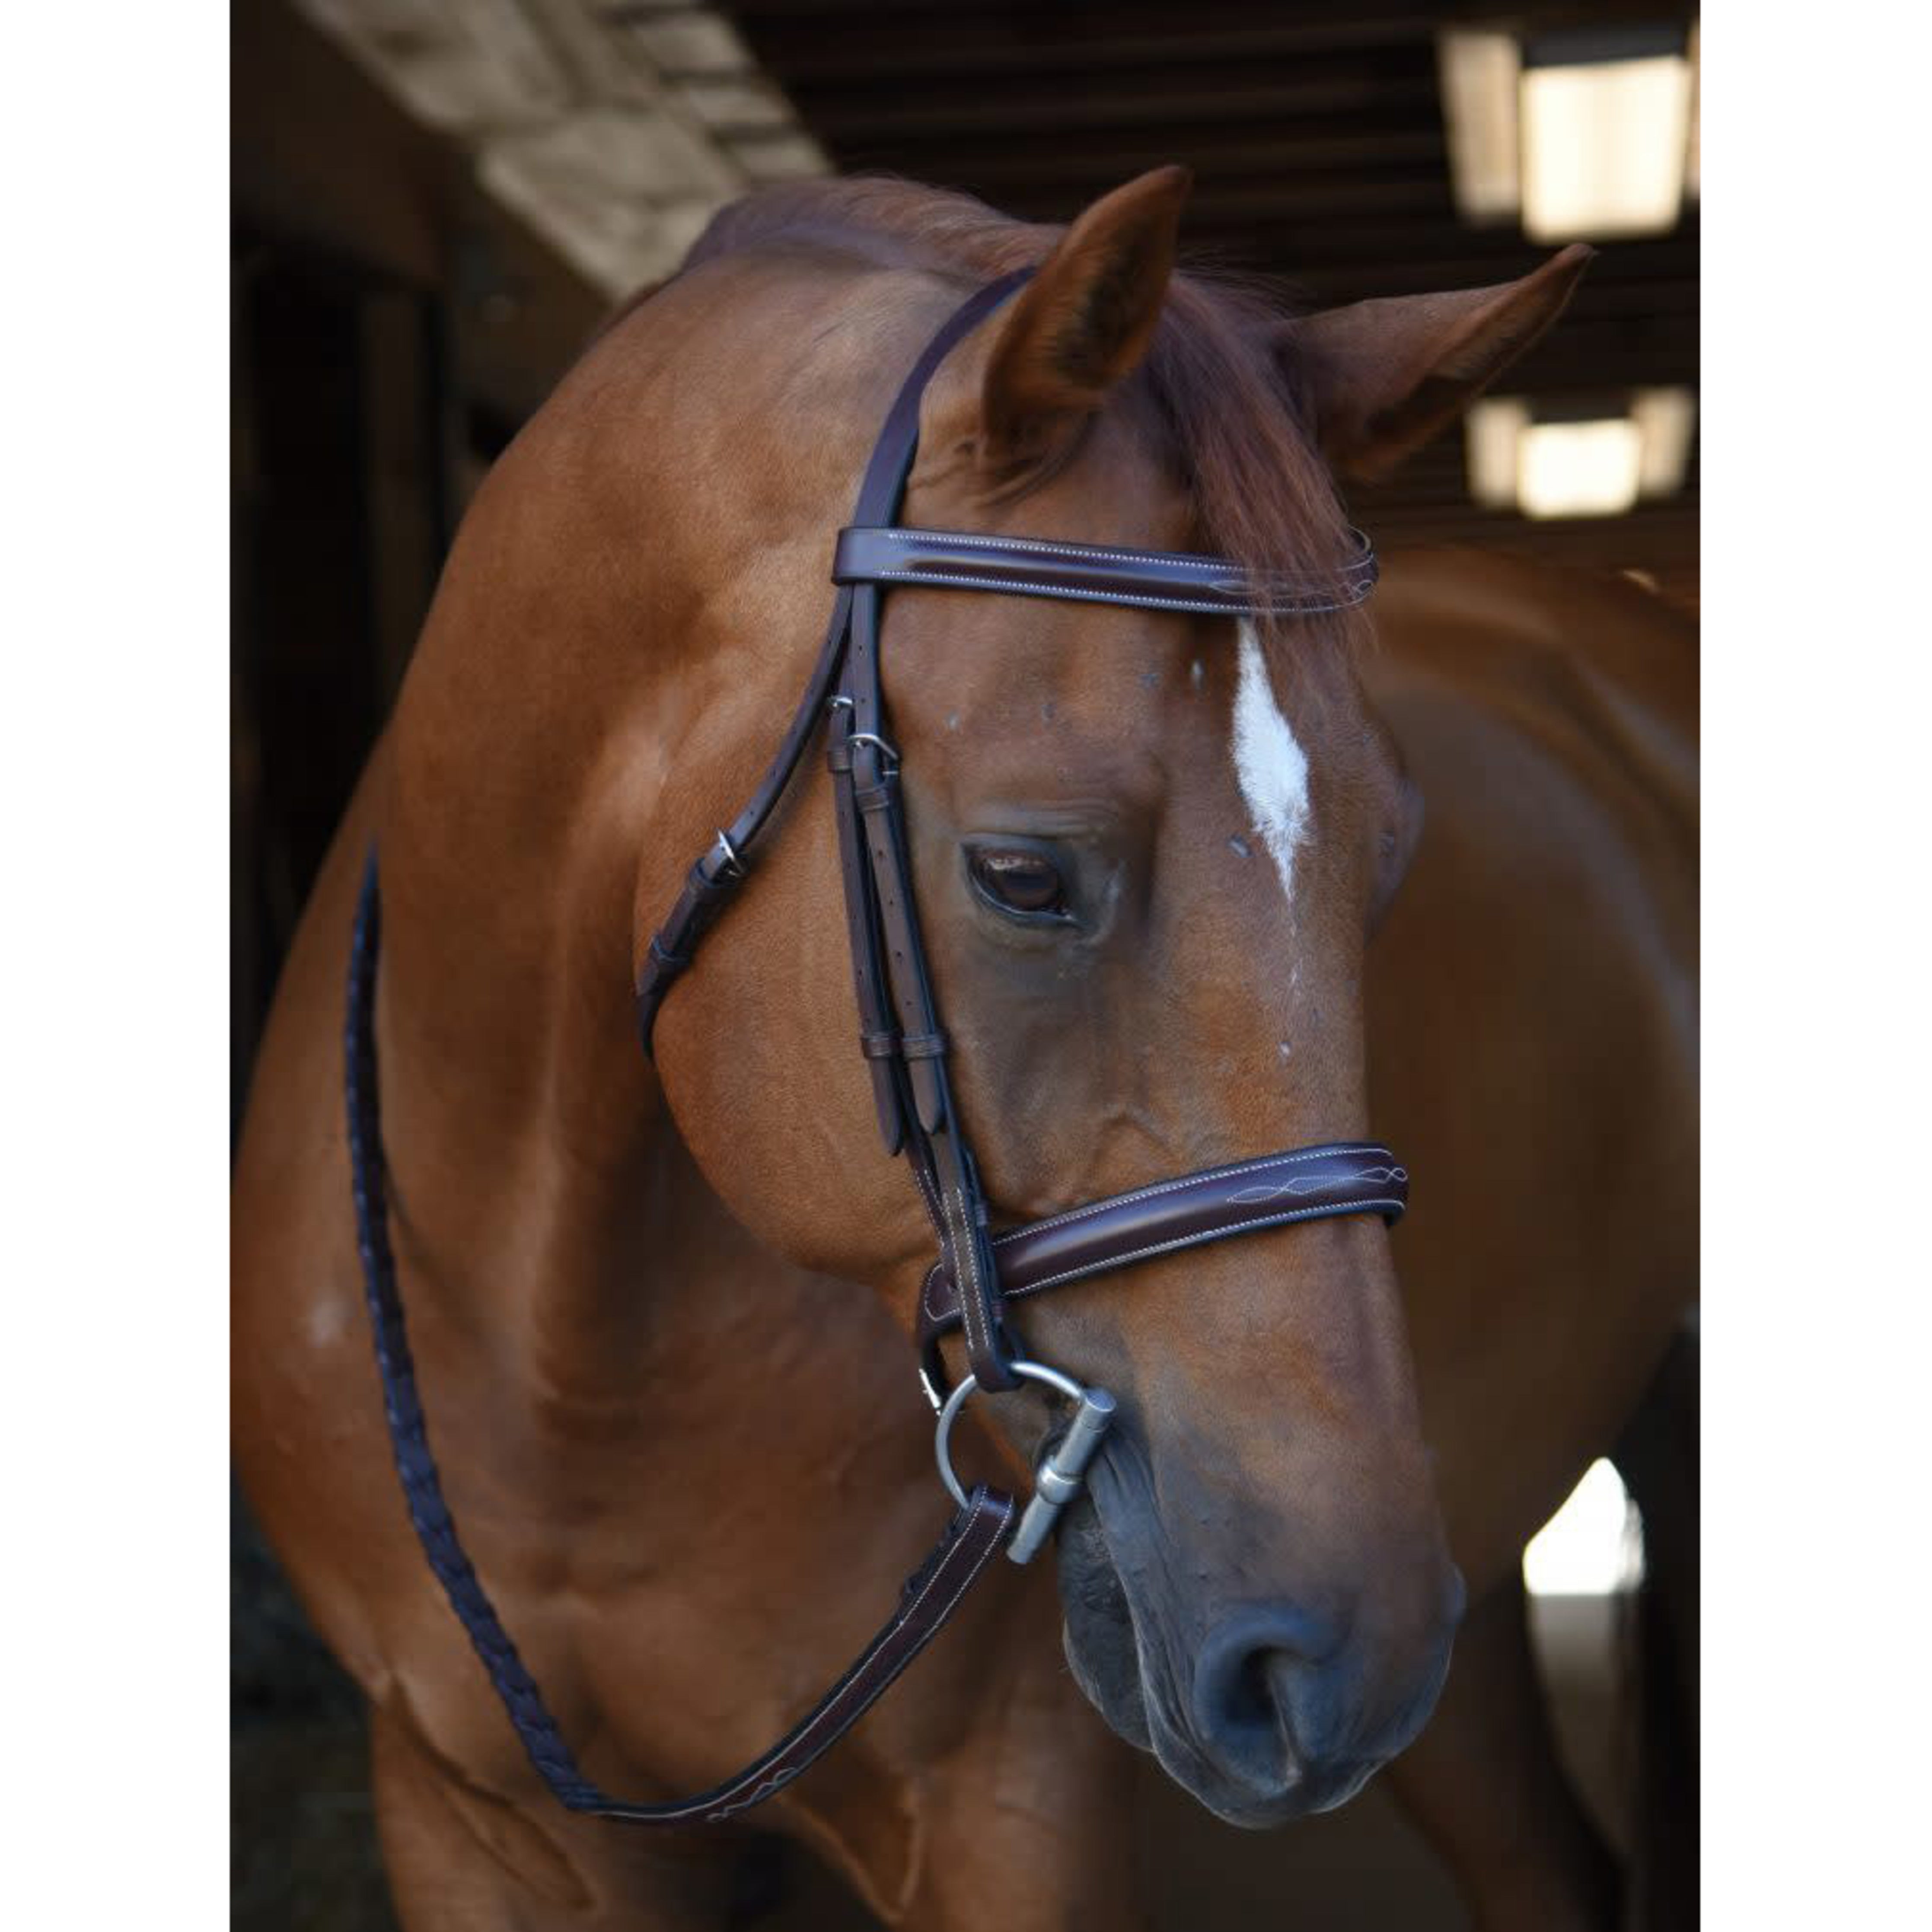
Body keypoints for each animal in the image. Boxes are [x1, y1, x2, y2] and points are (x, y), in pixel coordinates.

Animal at [233, 170, 1700, 1932]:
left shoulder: (1013, 1803)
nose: (1338, 1646)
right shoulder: (468, 1819)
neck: (561, 1356)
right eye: (1020, 873)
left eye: (1387, 858)